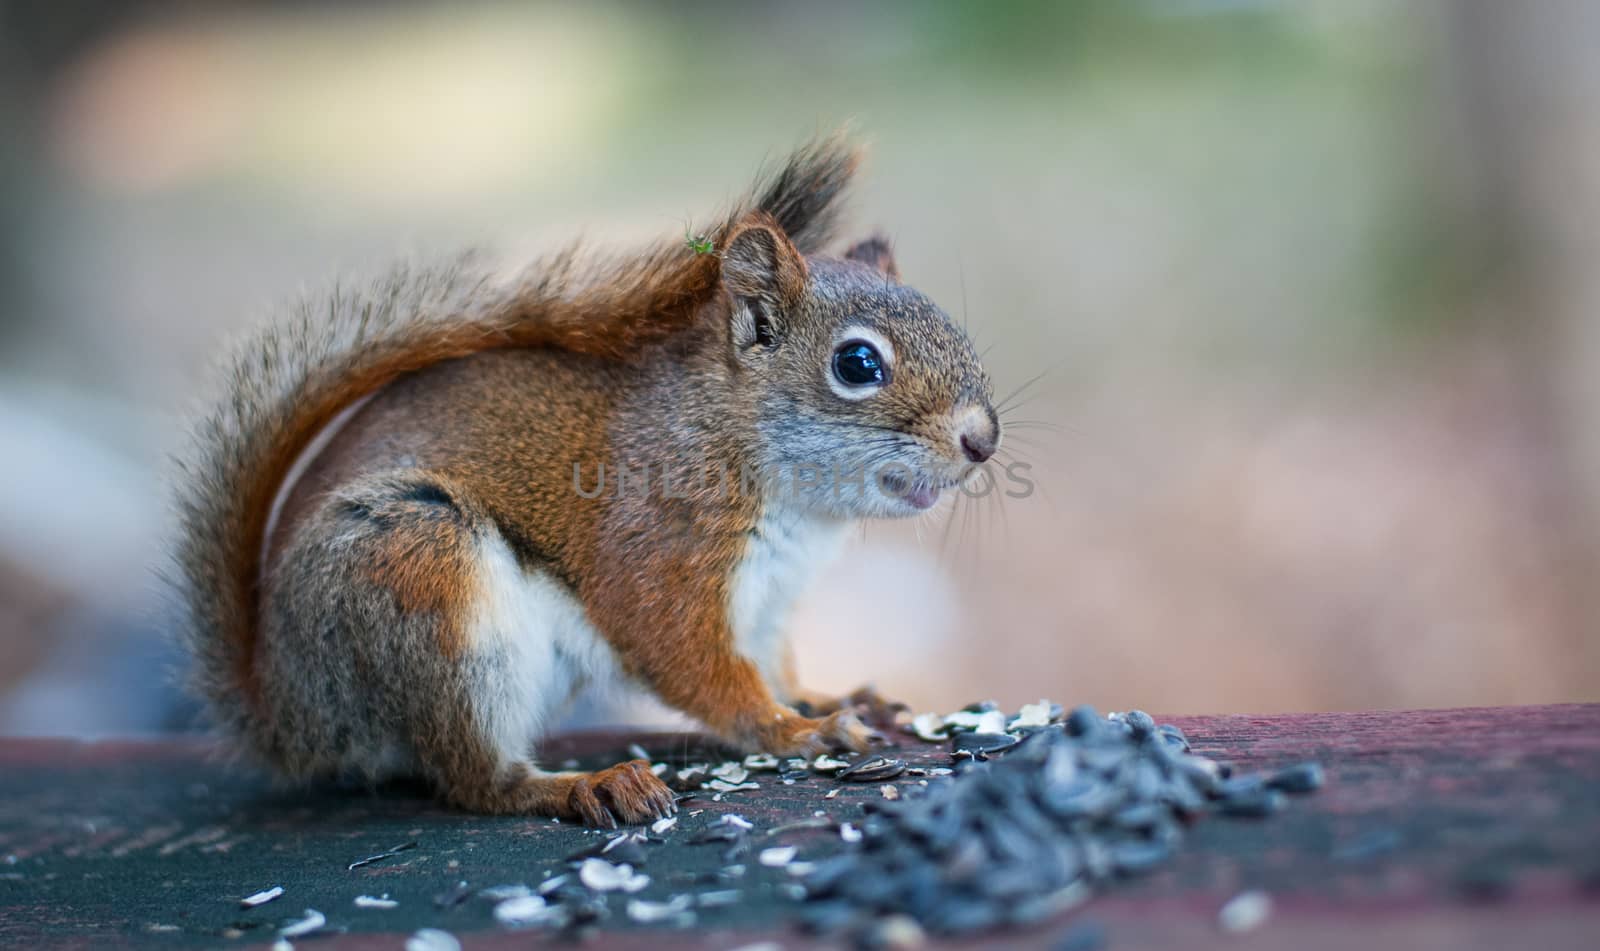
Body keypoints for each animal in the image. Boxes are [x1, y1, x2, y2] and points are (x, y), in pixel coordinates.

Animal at [175, 132, 998, 819]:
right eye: (857, 364)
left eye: (955, 329)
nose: (983, 440)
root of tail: (291, 715)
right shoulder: (661, 548)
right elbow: (693, 664)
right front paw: (795, 731)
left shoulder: (770, 597)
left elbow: (775, 663)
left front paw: (828, 698)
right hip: (423, 572)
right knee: (476, 781)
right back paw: (584, 784)